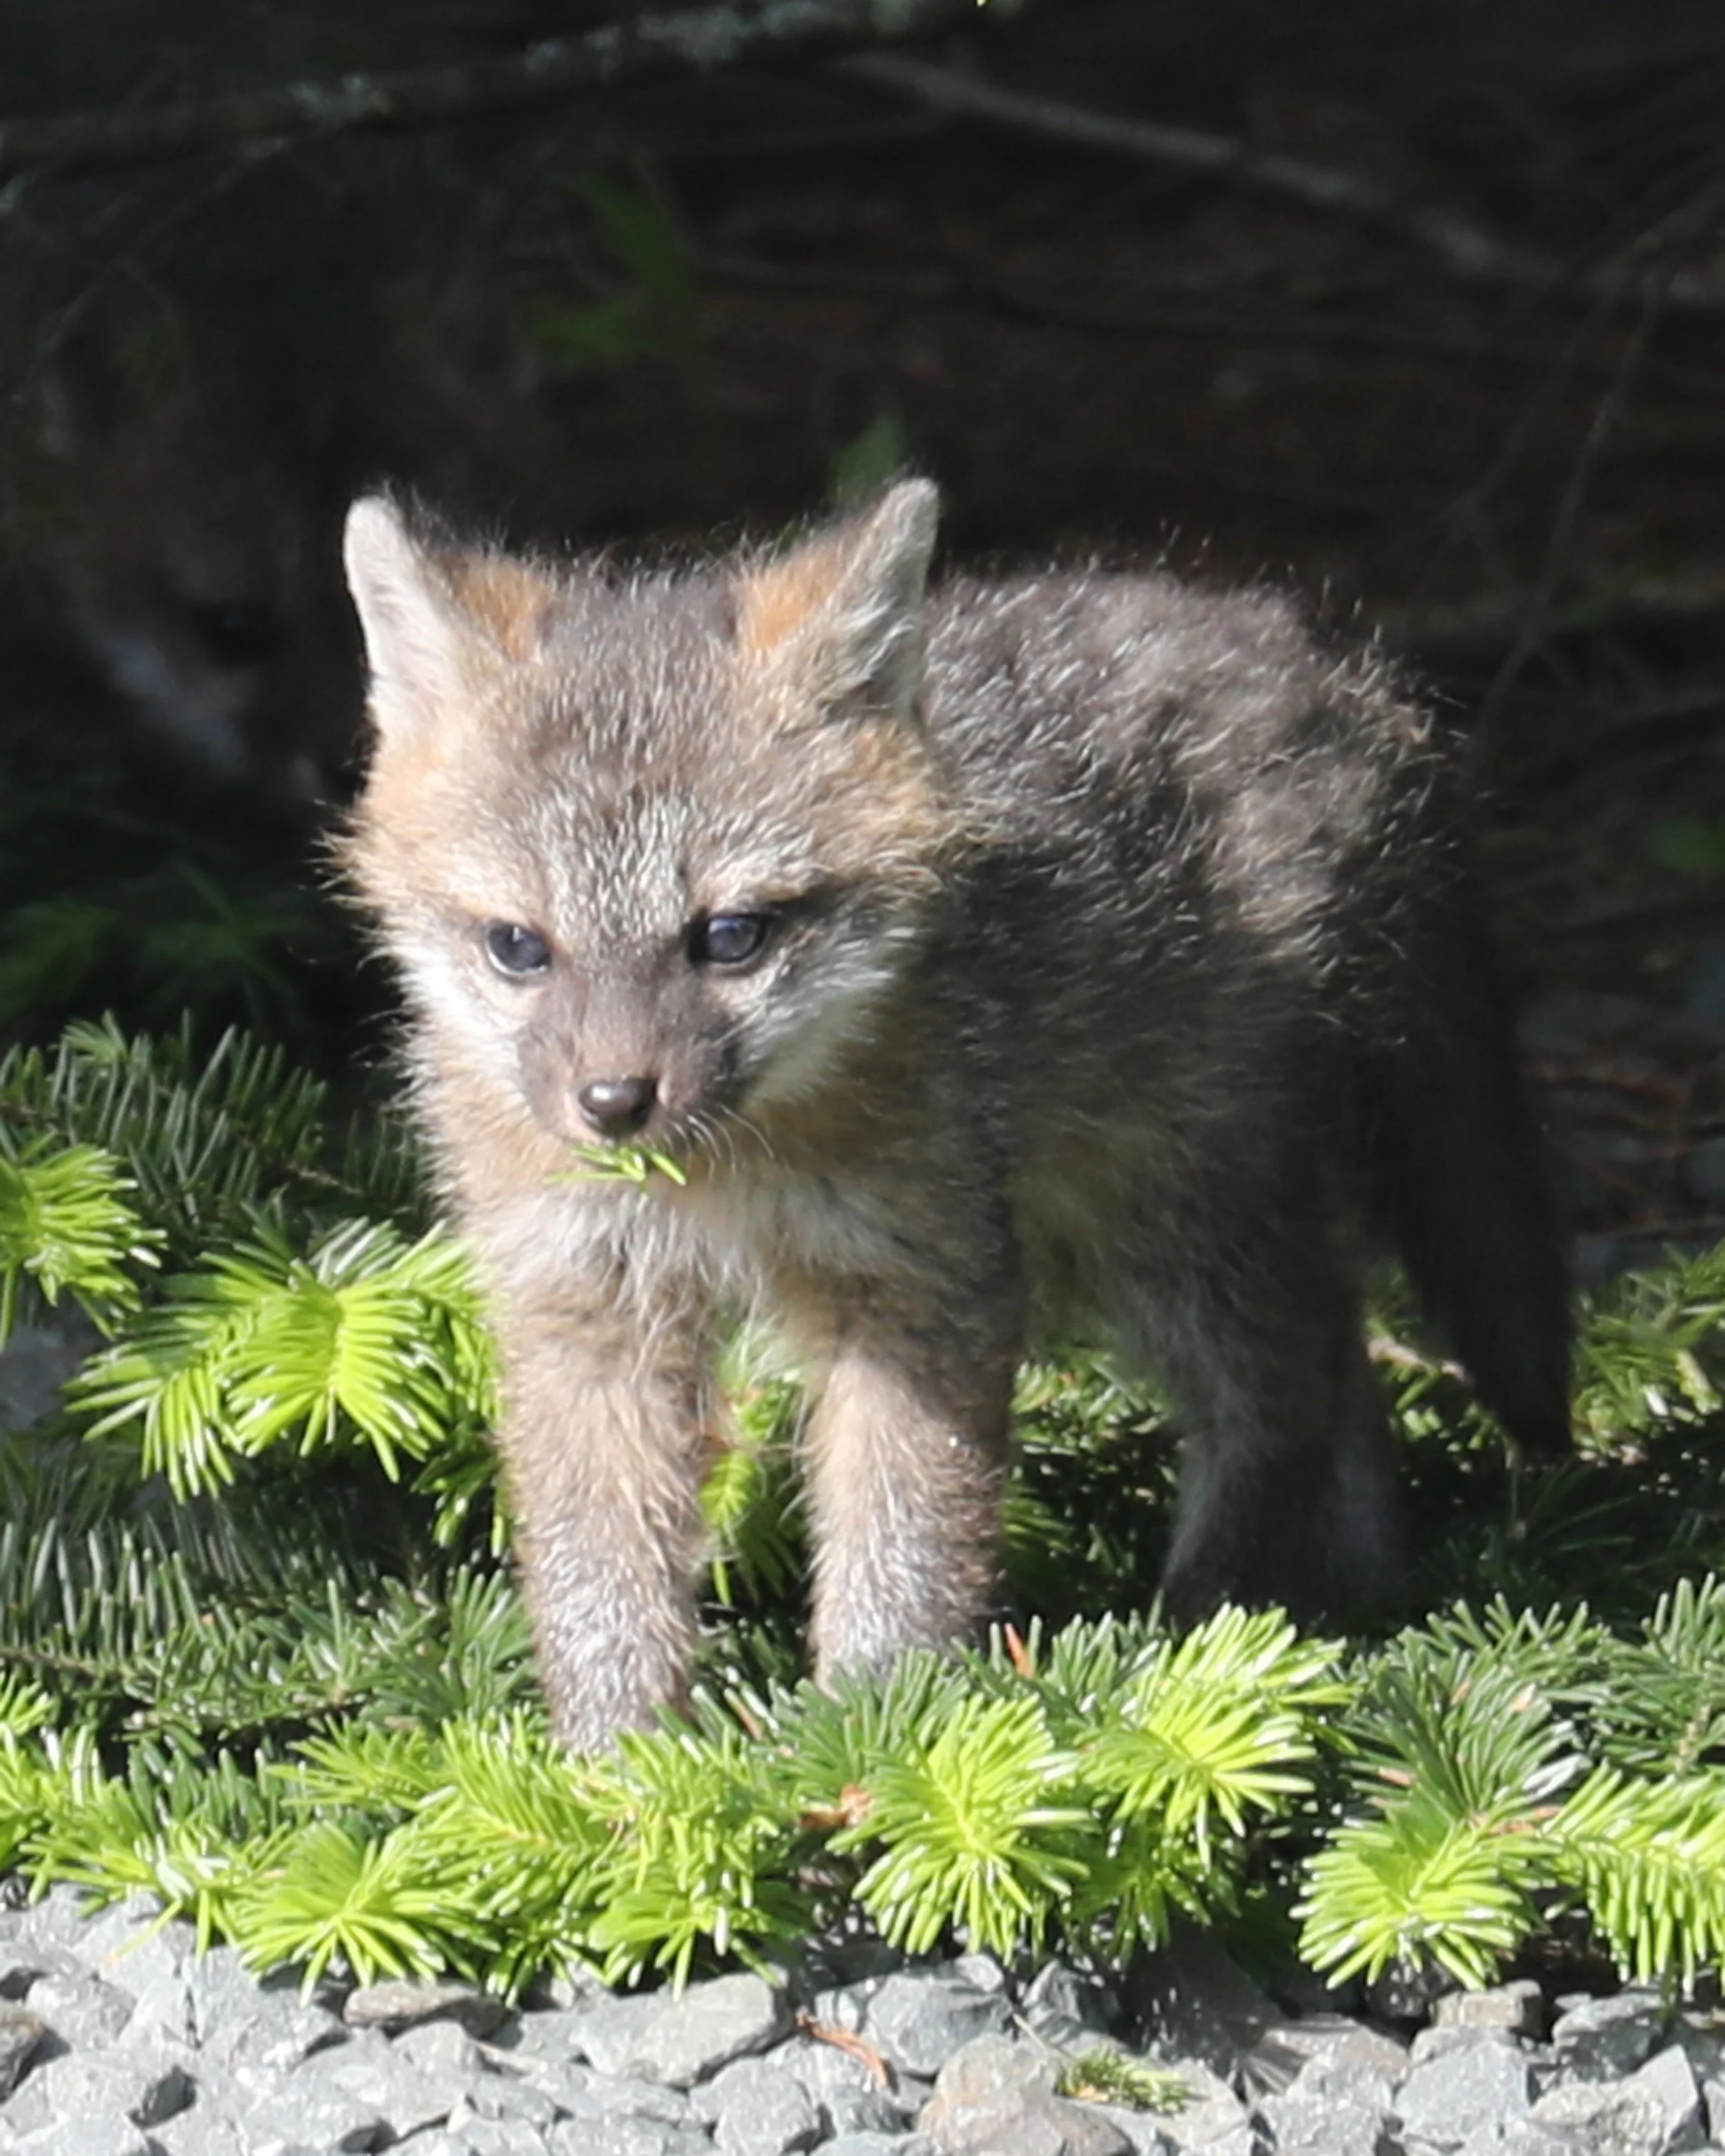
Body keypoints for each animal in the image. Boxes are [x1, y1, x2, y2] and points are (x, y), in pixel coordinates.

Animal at [340, 479, 1571, 1753]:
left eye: (731, 936)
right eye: (518, 947)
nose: (614, 1104)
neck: (726, 1186)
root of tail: (1337, 677)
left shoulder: (919, 1285)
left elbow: (903, 1550)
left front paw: (869, 1742)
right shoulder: (584, 1310)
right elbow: (601, 1581)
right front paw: (621, 1772)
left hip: (1166, 1216)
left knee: (1292, 1371)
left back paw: (1204, 1627)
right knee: (1342, 1358)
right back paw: (1351, 1597)